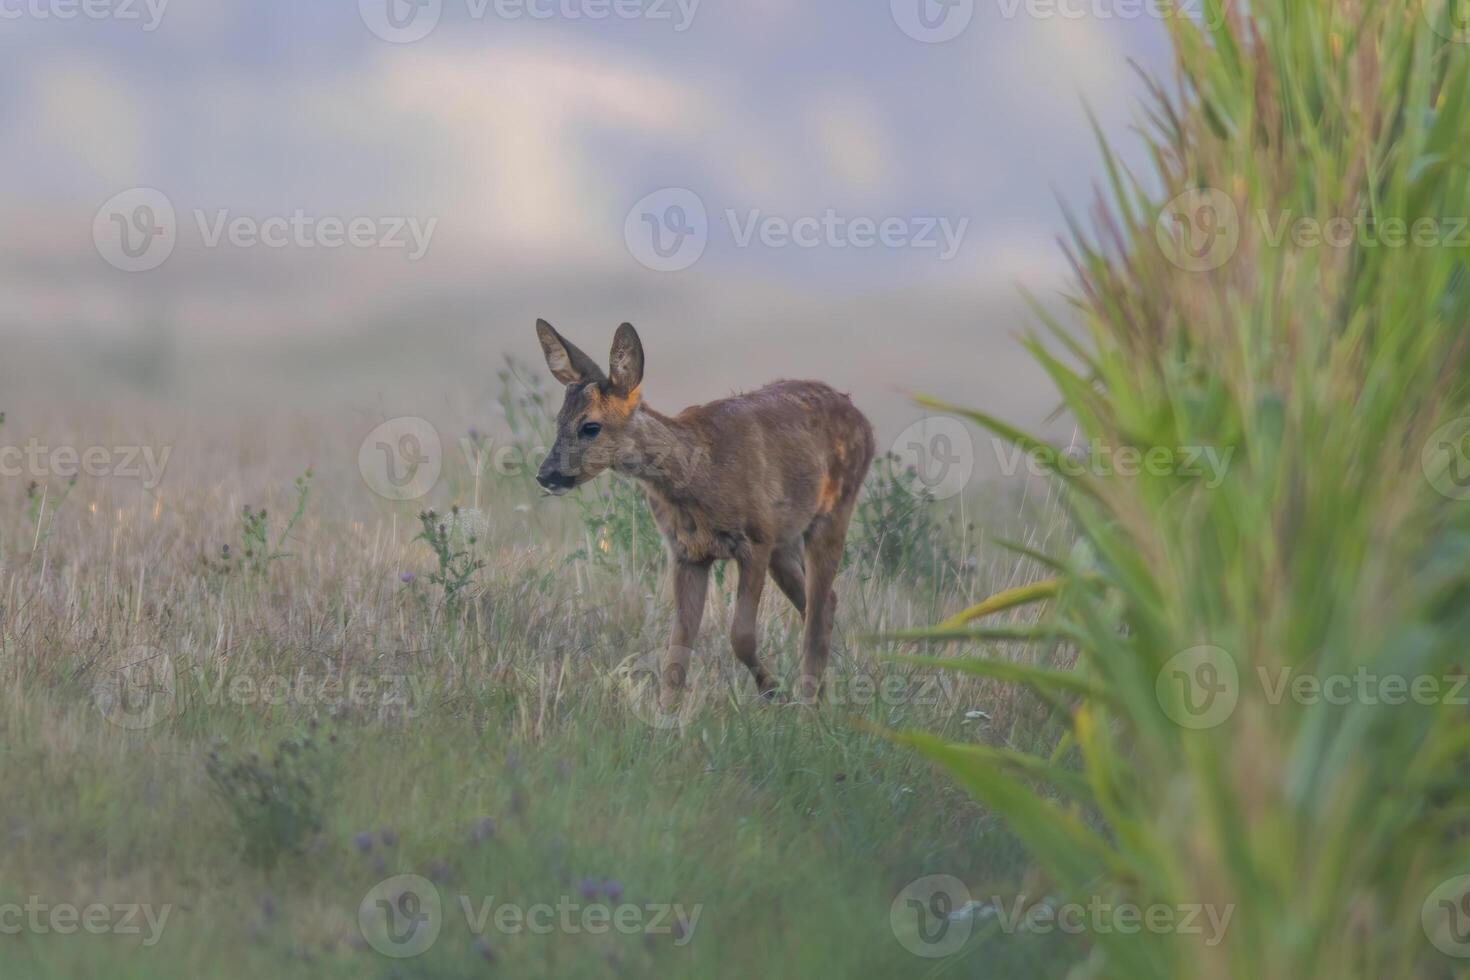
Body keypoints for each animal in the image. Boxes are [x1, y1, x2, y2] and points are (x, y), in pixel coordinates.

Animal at [535, 320, 870, 705]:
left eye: (590, 426)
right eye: (559, 420)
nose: (545, 474)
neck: (699, 476)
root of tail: (864, 421)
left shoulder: (756, 538)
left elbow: (740, 637)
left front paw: (773, 692)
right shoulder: (687, 552)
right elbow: (676, 651)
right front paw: (666, 714)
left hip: (832, 512)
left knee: (817, 609)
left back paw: (808, 704)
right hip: (784, 542)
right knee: (822, 603)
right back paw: (819, 696)